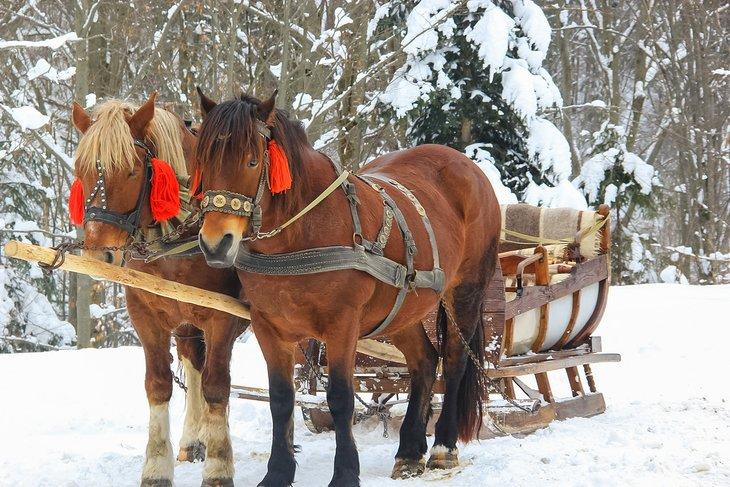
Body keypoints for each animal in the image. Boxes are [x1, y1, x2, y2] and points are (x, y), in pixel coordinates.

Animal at [71, 94, 245, 487]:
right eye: (82, 171)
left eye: (132, 171)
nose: (98, 256)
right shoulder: (145, 313)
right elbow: (159, 384)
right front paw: (156, 467)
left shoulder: (223, 316)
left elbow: (217, 384)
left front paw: (219, 468)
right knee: (193, 363)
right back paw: (194, 439)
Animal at [193, 88, 501, 487]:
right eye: (203, 160)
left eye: (250, 161)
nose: (215, 244)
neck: (301, 234)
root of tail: (467, 164)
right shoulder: (268, 326)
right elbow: (281, 398)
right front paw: (278, 472)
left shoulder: (342, 324)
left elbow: (340, 397)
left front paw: (345, 473)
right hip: (400, 310)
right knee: (423, 361)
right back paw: (409, 451)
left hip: (466, 290)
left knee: (453, 362)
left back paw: (442, 448)